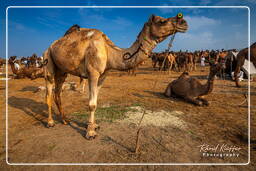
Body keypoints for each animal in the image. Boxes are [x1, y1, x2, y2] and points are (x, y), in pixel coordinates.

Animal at [43, 13, 188, 139]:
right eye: (161, 21)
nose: (184, 22)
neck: (110, 51)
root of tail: (51, 45)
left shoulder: (103, 76)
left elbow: (96, 101)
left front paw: (94, 125)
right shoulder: (93, 73)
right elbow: (91, 104)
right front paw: (90, 133)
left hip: (62, 71)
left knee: (58, 93)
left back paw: (65, 120)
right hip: (48, 60)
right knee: (49, 93)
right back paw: (50, 122)